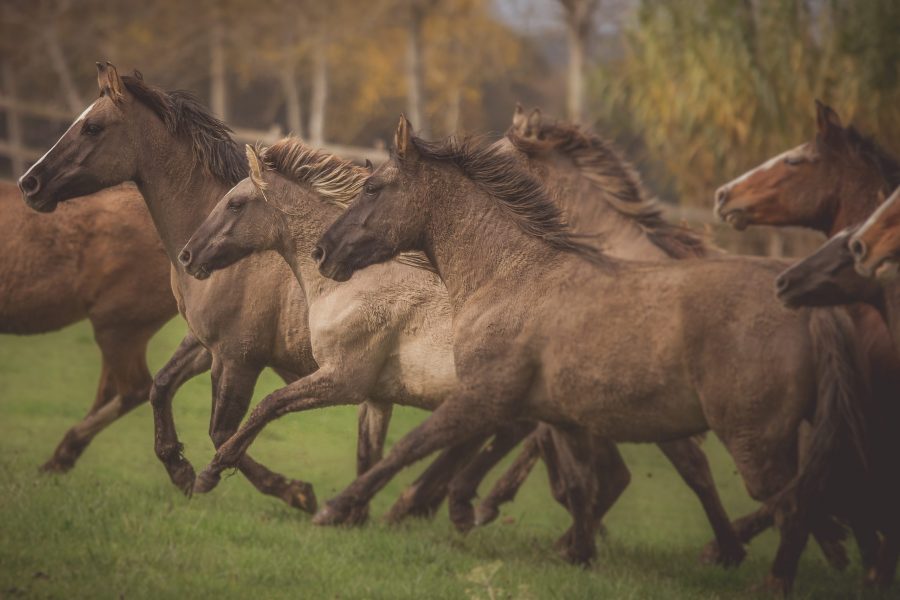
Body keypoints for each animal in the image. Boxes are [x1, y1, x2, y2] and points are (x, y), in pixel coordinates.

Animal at [314, 116, 865, 592]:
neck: (510, 274)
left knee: (794, 507)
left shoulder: (485, 395)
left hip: (756, 443)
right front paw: (579, 553)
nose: (323, 251)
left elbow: (412, 446)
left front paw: (339, 508)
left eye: (372, 188)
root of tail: (808, 309)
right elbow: (581, 484)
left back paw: (768, 575)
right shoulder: (562, 416)